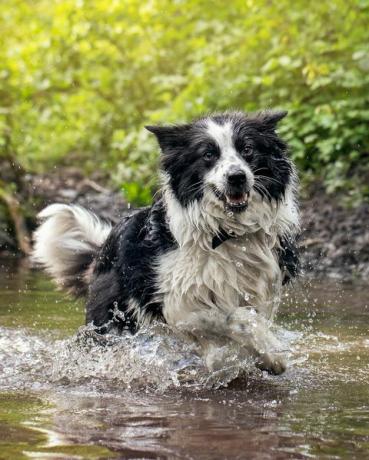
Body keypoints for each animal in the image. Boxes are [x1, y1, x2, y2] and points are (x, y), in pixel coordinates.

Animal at [33, 110, 300, 374]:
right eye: (208, 154)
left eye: (247, 149)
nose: (237, 177)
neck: (226, 234)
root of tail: (103, 249)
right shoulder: (177, 305)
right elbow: (236, 317)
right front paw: (272, 353)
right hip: (112, 321)